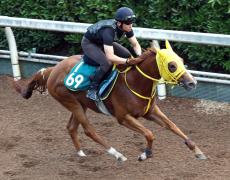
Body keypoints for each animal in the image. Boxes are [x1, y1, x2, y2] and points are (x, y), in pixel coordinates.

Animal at [13, 41, 207, 162]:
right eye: (171, 65)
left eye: (181, 60)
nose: (192, 83)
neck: (135, 82)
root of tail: (52, 70)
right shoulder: (123, 117)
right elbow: (149, 133)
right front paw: (145, 154)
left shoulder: (150, 112)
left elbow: (173, 126)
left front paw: (197, 151)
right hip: (71, 103)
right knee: (89, 130)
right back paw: (117, 154)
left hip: (80, 104)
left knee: (71, 127)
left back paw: (81, 153)